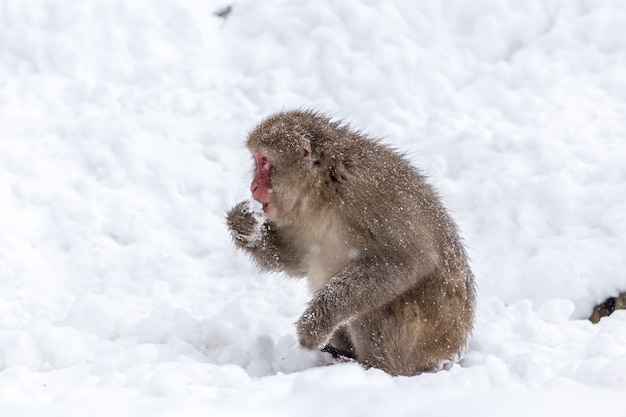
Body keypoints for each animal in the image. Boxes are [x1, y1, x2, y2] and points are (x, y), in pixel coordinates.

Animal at [227, 109, 476, 376]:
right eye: (257, 162)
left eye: (264, 161)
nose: (253, 186)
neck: (325, 190)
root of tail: (450, 348)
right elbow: (296, 261)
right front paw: (243, 225)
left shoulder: (370, 195)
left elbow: (407, 261)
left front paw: (316, 323)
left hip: (423, 338)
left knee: (374, 306)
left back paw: (372, 366)